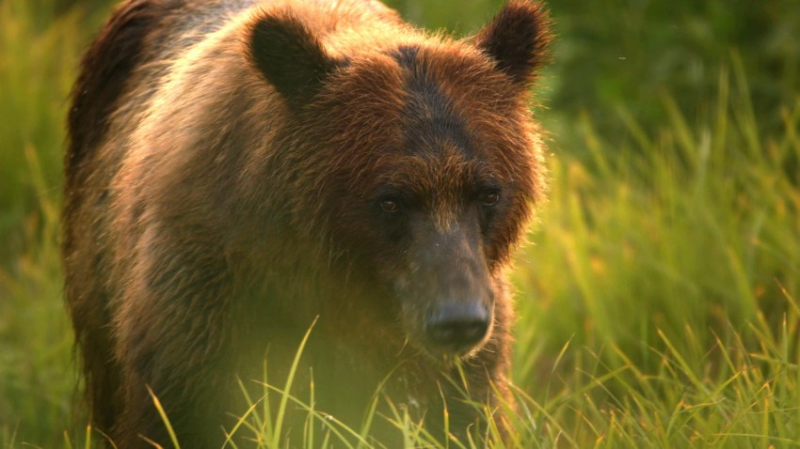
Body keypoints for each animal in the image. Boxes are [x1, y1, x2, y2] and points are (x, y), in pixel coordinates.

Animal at [64, 0, 552, 444]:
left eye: (488, 192)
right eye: (390, 201)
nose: (458, 318)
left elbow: (460, 415)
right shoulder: (205, 286)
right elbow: (181, 412)